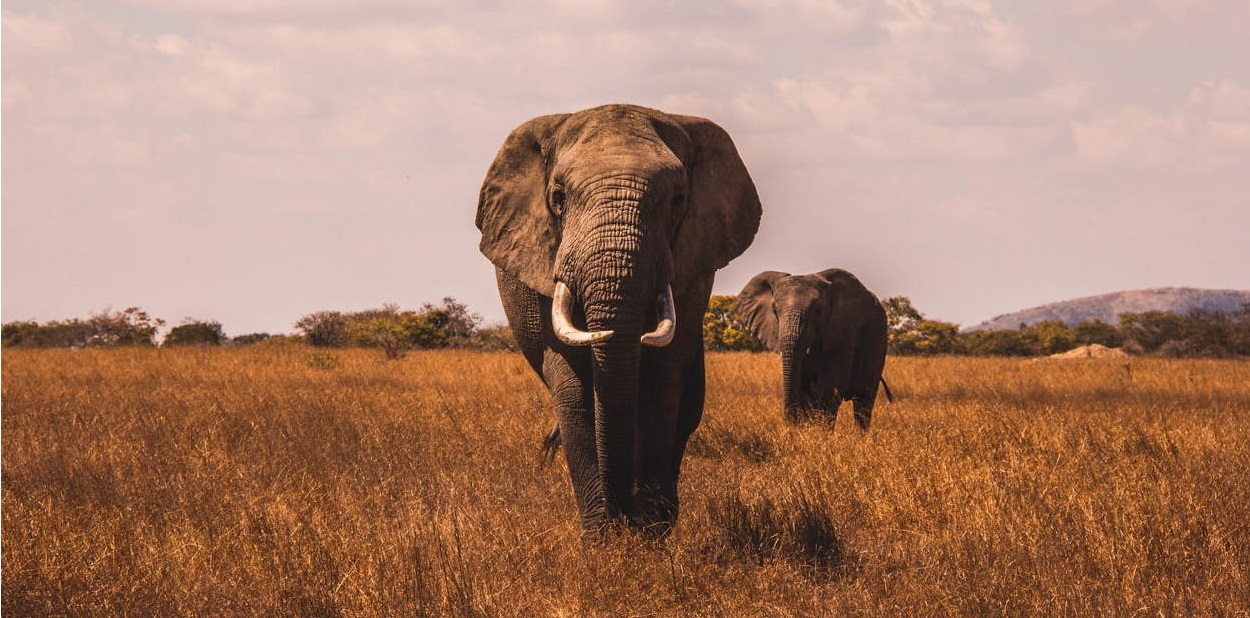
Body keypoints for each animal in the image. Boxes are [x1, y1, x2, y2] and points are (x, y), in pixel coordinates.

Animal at [472, 105, 755, 535]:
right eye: (558, 198)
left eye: (678, 199)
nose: (625, 516)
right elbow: (574, 389)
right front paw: (604, 537)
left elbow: (663, 385)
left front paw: (650, 534)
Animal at [735, 267, 895, 427]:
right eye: (774, 310)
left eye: (818, 310)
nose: (790, 423)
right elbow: (805, 390)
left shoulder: (844, 332)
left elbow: (830, 389)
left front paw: (821, 432)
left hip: (878, 341)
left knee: (864, 401)